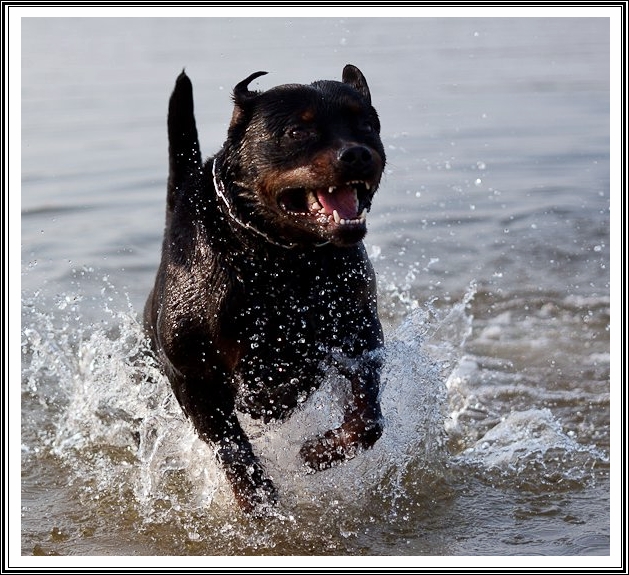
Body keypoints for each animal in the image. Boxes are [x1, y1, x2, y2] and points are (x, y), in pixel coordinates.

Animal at [144, 65, 386, 516]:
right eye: (297, 132)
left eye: (365, 124)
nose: (358, 154)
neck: (280, 260)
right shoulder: (195, 377)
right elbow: (233, 449)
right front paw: (259, 505)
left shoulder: (359, 335)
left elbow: (367, 421)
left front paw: (318, 452)